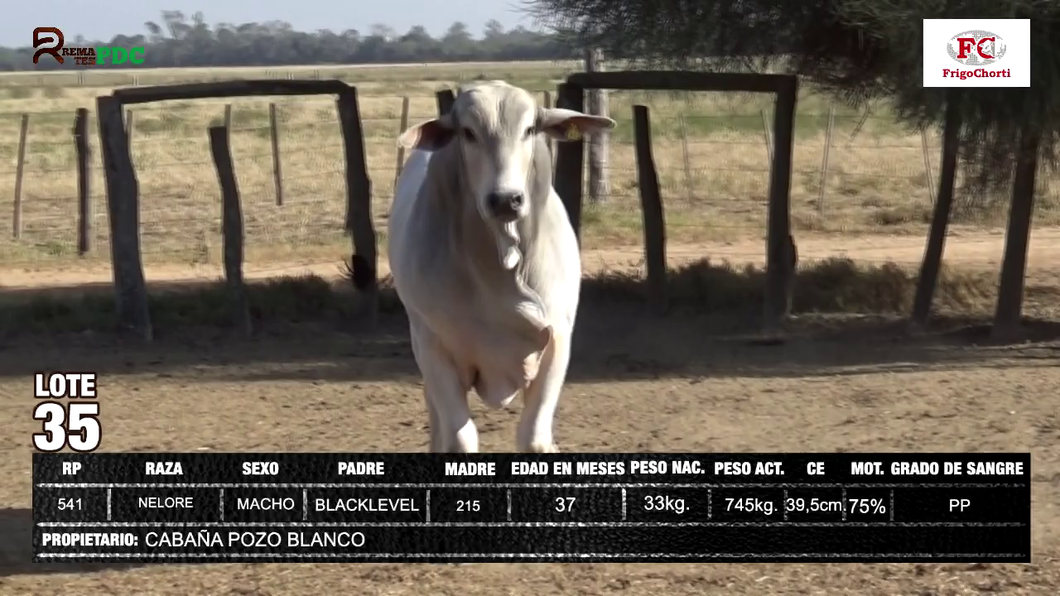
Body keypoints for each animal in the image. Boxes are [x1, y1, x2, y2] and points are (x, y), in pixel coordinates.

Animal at [387, 79, 614, 449]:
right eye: (467, 133)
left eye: (530, 129)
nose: (506, 199)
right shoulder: (433, 347)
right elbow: (461, 437)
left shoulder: (557, 342)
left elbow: (534, 437)